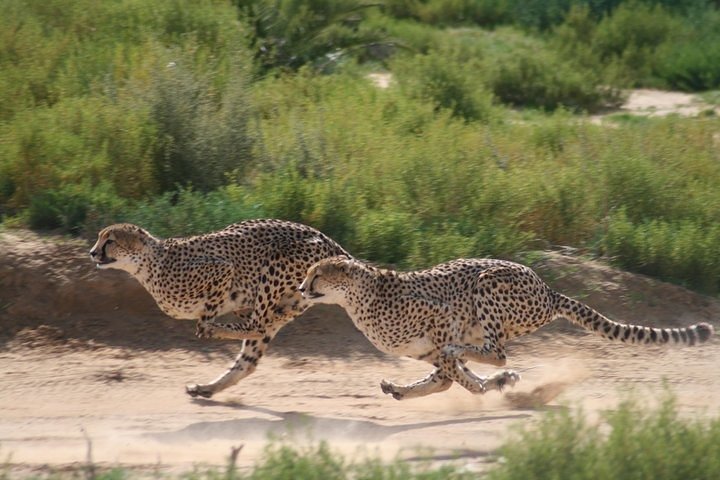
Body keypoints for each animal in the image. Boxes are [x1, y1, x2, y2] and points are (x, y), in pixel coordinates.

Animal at [90, 219, 350, 398]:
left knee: (257, 326)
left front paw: (207, 326)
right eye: (100, 238)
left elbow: (210, 311)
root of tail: (329, 241)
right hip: (291, 296)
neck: (150, 264)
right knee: (250, 354)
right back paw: (206, 388)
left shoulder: (222, 268)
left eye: (110, 241)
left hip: (276, 266)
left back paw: (217, 336)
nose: (92, 252)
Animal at [299, 256, 714, 400]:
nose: (301, 288)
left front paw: (488, 386)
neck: (357, 297)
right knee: (478, 358)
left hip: (487, 283)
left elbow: (456, 371)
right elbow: (446, 377)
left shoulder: (442, 319)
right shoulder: (425, 349)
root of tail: (548, 290)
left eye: (316, 274)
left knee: (497, 353)